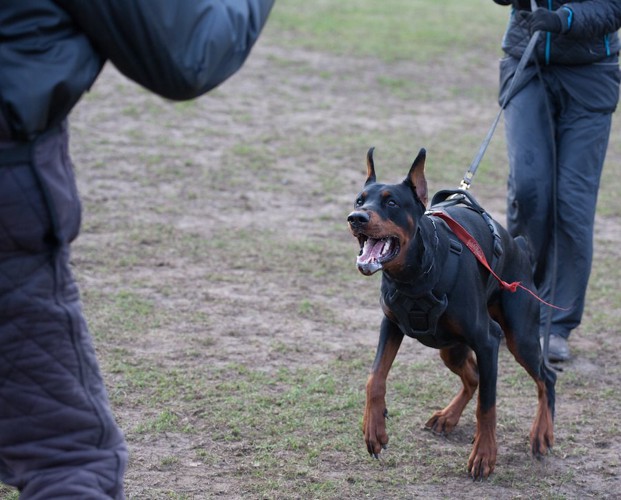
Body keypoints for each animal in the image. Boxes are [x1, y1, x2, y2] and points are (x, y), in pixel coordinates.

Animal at [346, 148, 556, 480]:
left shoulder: (488, 341)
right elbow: (374, 377)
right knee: (472, 376)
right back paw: (447, 417)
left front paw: (484, 455)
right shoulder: (391, 324)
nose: (356, 218)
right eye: (359, 200)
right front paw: (374, 430)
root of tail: (519, 246)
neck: (416, 275)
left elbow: (487, 405)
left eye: (392, 203)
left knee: (546, 378)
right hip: (450, 347)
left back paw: (541, 433)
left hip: (519, 337)